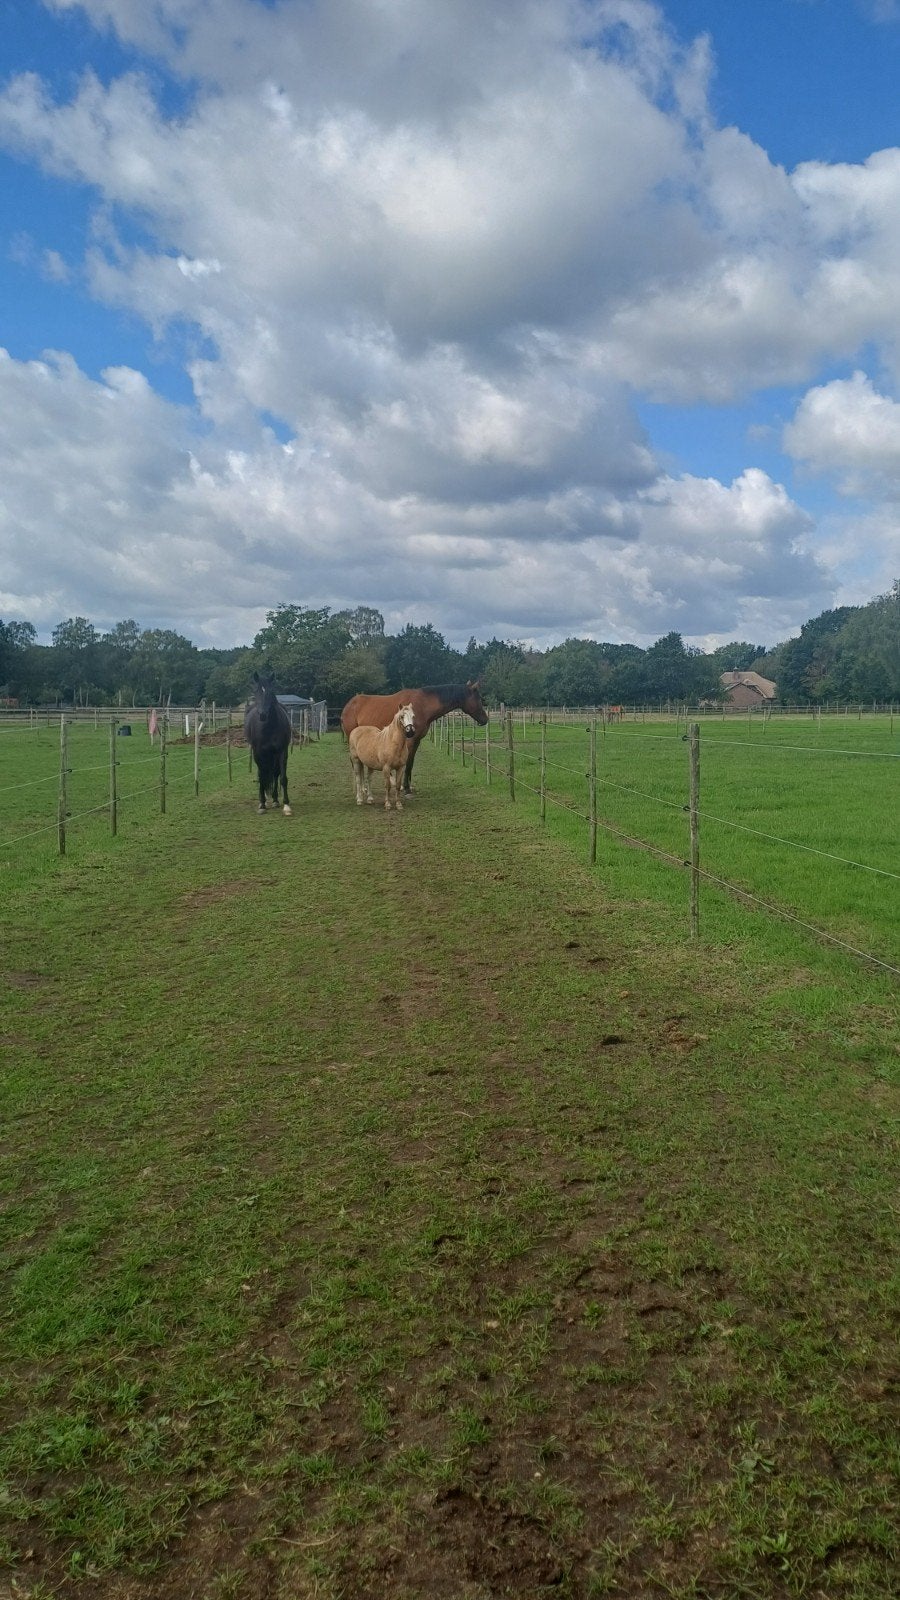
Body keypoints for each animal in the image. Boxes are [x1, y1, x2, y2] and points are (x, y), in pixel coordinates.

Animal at [244, 670, 293, 815]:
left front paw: (286, 805)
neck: (268, 728)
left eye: (271, 691)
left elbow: (282, 778)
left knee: (274, 774)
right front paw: (262, 804)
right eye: (255, 691)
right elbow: (261, 776)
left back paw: (275, 799)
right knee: (264, 774)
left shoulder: (282, 751)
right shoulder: (258, 753)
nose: (263, 714)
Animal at [340, 681, 488, 794]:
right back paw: (363, 789)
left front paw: (408, 786)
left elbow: (411, 763)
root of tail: (347, 706)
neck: (423, 705)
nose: (485, 719)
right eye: (478, 699)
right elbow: (408, 763)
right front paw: (405, 788)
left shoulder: (416, 741)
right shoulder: (410, 741)